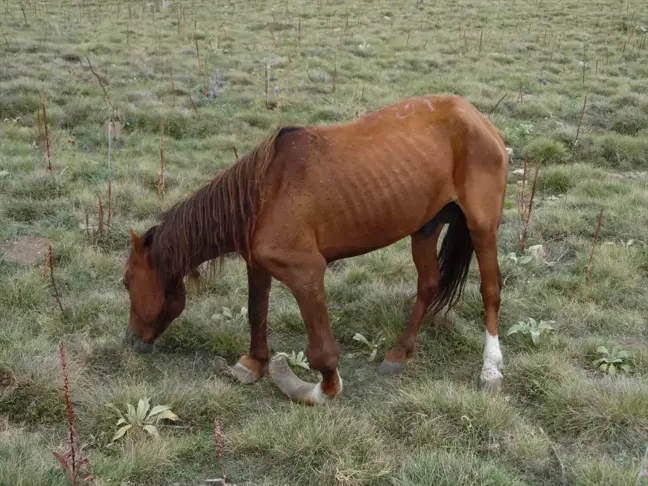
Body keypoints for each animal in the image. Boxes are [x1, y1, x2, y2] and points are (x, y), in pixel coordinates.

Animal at [123, 95, 512, 406]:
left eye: (126, 282)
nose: (130, 341)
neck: (264, 194)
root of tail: (477, 117)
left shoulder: (305, 272)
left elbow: (323, 353)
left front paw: (321, 390)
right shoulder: (258, 265)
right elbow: (256, 313)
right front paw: (252, 364)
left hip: (481, 226)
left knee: (490, 289)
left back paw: (491, 369)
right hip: (426, 227)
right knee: (428, 284)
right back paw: (399, 354)